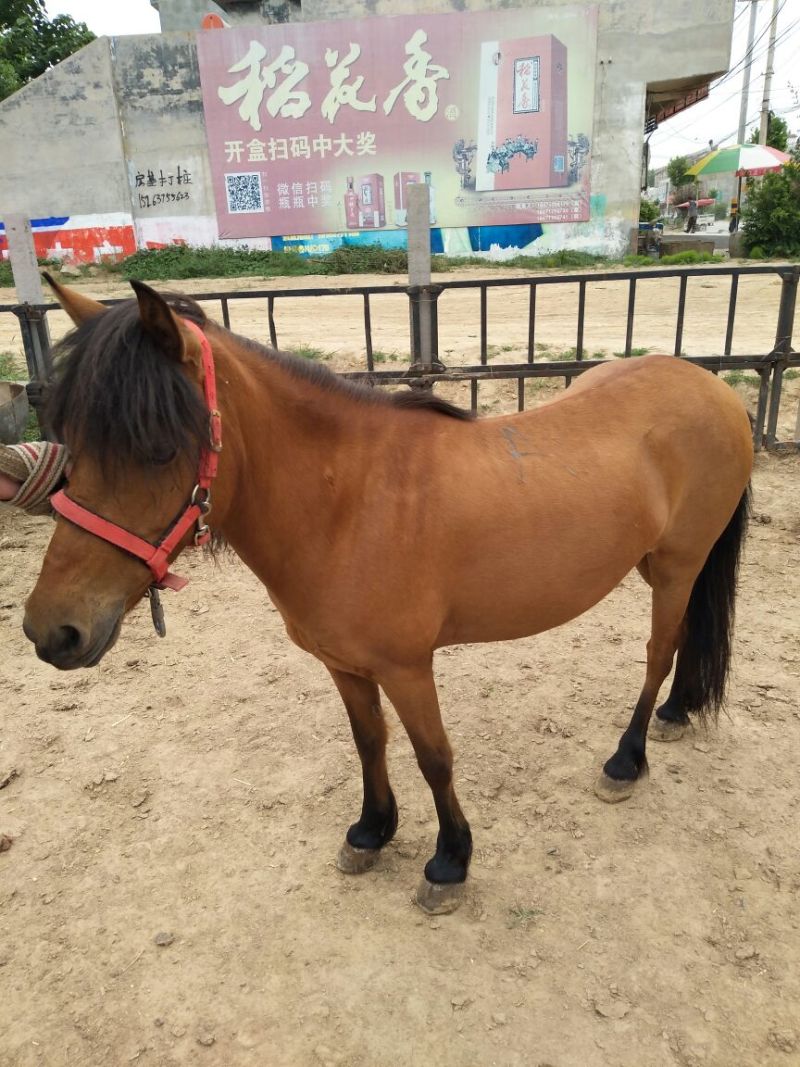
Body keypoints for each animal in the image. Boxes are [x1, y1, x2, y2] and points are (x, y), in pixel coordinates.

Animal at [23, 276, 753, 914]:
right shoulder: (344, 664)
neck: (348, 501)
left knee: (660, 650)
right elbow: (368, 741)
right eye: (71, 441)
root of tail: (712, 386)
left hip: (676, 566)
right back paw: (677, 712)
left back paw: (627, 760)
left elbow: (435, 757)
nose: (52, 631)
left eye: (156, 447)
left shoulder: (408, 667)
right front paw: (372, 831)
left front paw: (450, 862)